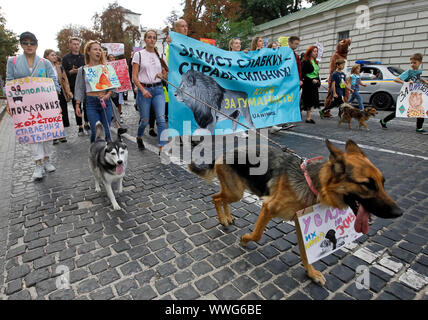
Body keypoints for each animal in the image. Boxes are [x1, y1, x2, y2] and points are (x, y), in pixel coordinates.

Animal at [187, 140, 402, 284]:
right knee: (216, 198)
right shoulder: (268, 208)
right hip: (235, 192)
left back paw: (228, 217)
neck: (314, 184)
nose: (399, 213)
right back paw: (224, 219)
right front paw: (245, 240)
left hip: (235, 192)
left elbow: (306, 254)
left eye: (383, 183)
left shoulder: (300, 223)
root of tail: (223, 153)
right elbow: (257, 235)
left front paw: (311, 272)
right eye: (367, 185)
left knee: (221, 198)